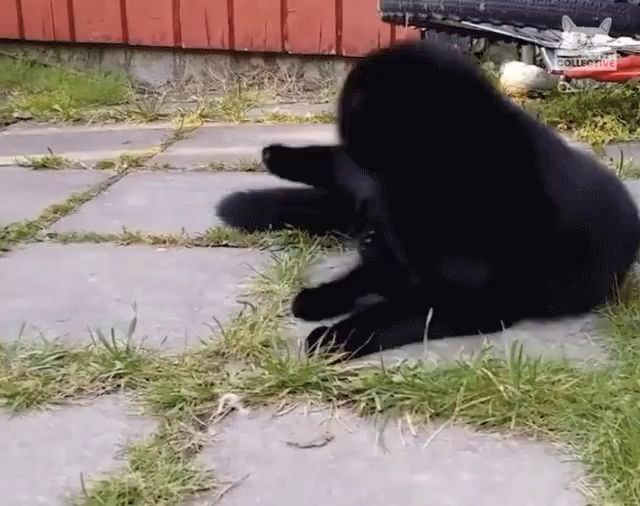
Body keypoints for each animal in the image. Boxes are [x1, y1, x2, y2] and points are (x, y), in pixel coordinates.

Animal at [218, 40, 640, 360]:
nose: (363, 224)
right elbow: (366, 275)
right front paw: (321, 298)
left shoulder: (467, 299)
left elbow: (387, 313)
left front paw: (334, 336)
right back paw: (275, 156)